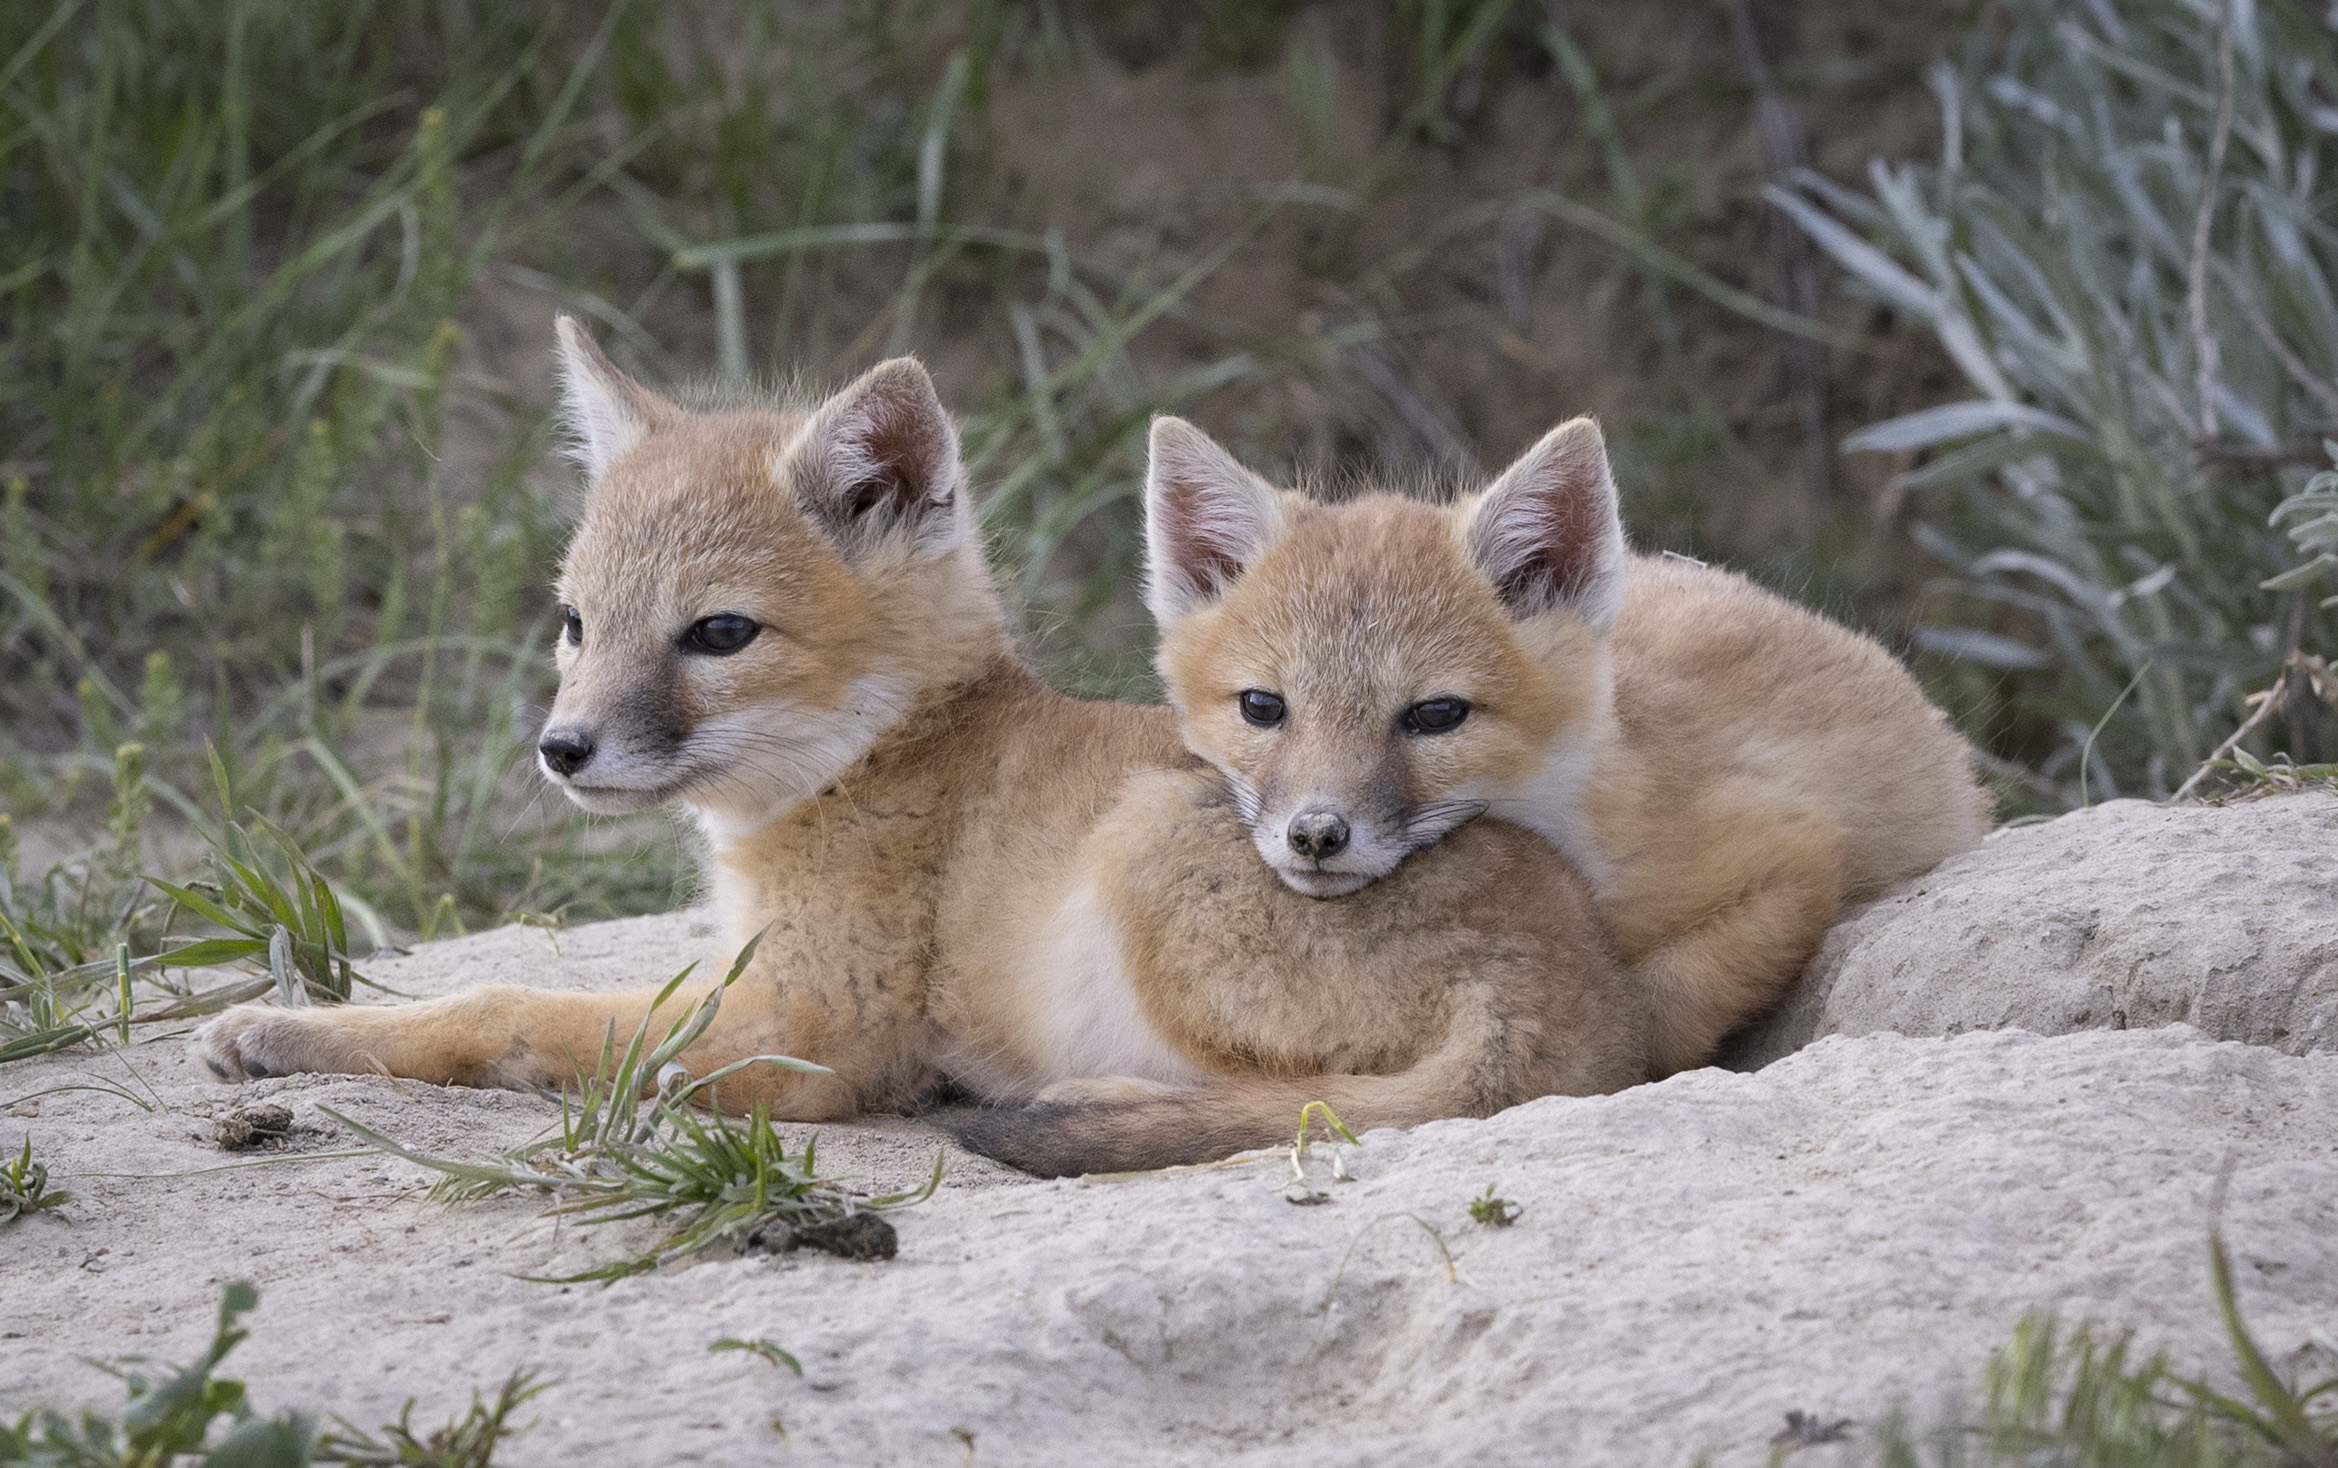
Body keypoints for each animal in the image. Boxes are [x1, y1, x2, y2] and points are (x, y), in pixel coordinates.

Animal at [193, 319, 1646, 1176]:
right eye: (574, 624)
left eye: (718, 633)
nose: (562, 749)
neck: (881, 760)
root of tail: (1578, 976)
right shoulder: (739, 976)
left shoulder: (812, 1036)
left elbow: (503, 1010)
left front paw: (284, 1028)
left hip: (1141, 864)